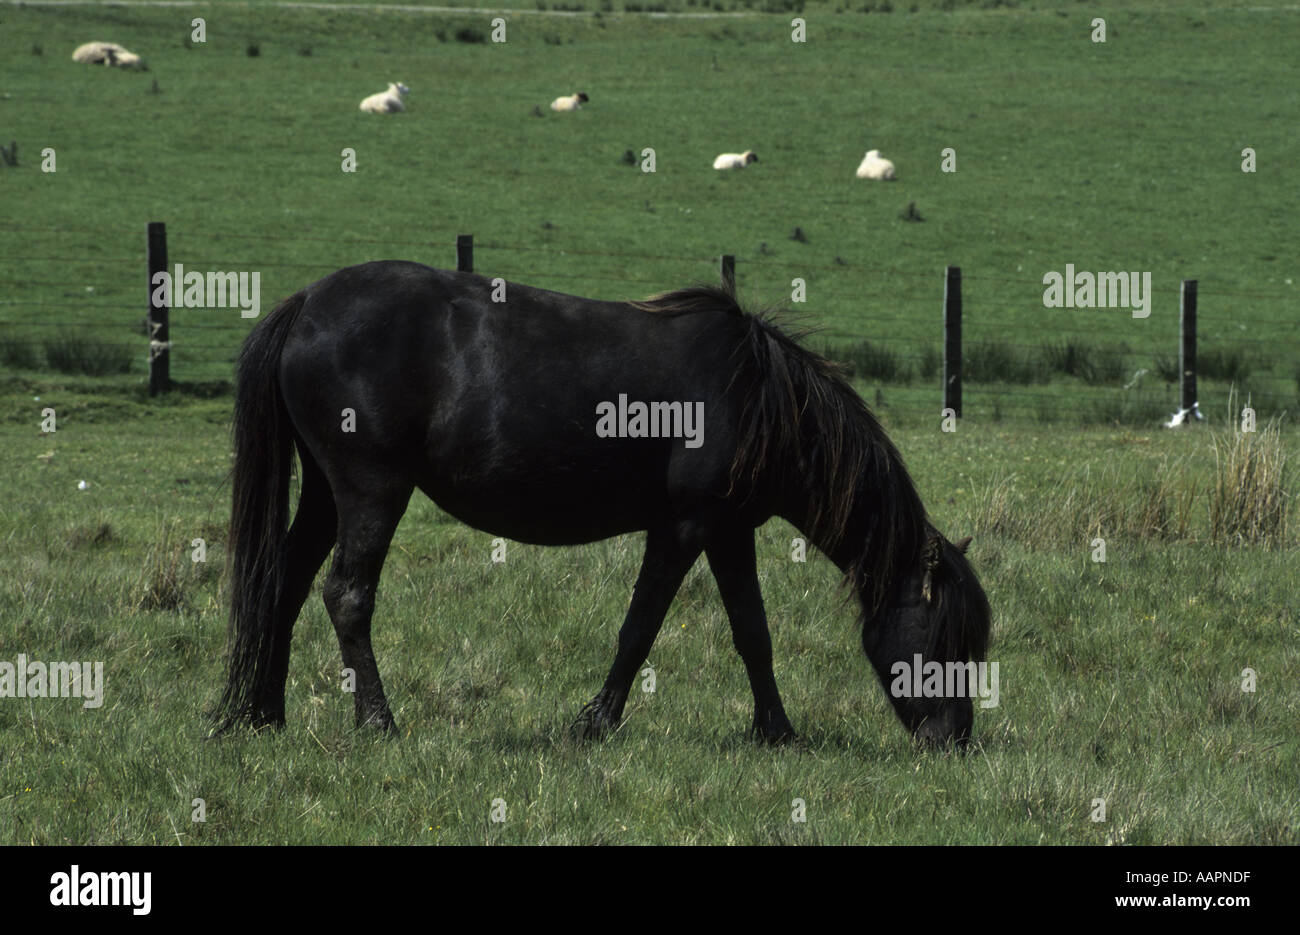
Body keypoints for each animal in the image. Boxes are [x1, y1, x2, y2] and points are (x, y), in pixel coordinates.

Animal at [215, 260, 982, 749]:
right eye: (946, 639)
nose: (954, 741)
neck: (755, 394)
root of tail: (305, 305)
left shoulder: (729, 530)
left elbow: (752, 634)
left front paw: (778, 732)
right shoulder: (683, 526)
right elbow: (639, 628)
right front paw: (594, 723)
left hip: (324, 491)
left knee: (282, 584)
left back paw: (261, 716)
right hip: (370, 489)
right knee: (347, 595)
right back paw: (377, 724)